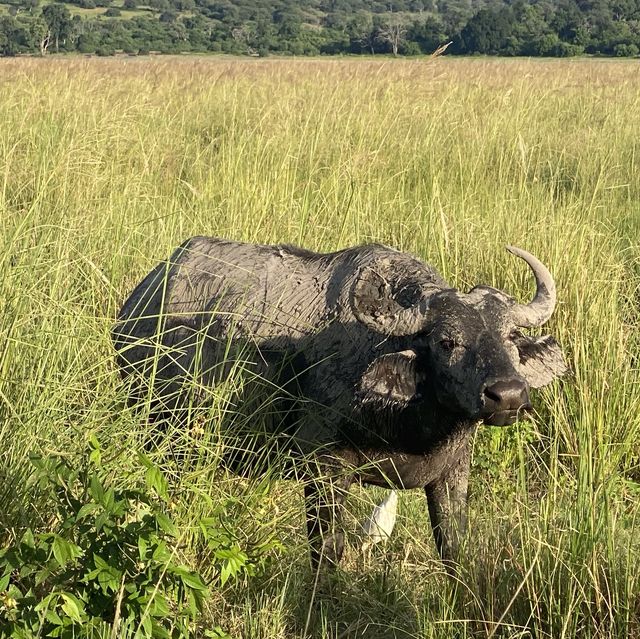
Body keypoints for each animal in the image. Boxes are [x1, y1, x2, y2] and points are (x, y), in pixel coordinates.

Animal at [114, 238, 564, 568]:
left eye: (509, 338)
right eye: (446, 342)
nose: (508, 395)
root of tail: (138, 303)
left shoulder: (453, 473)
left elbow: (453, 548)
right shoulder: (324, 470)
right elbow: (328, 550)